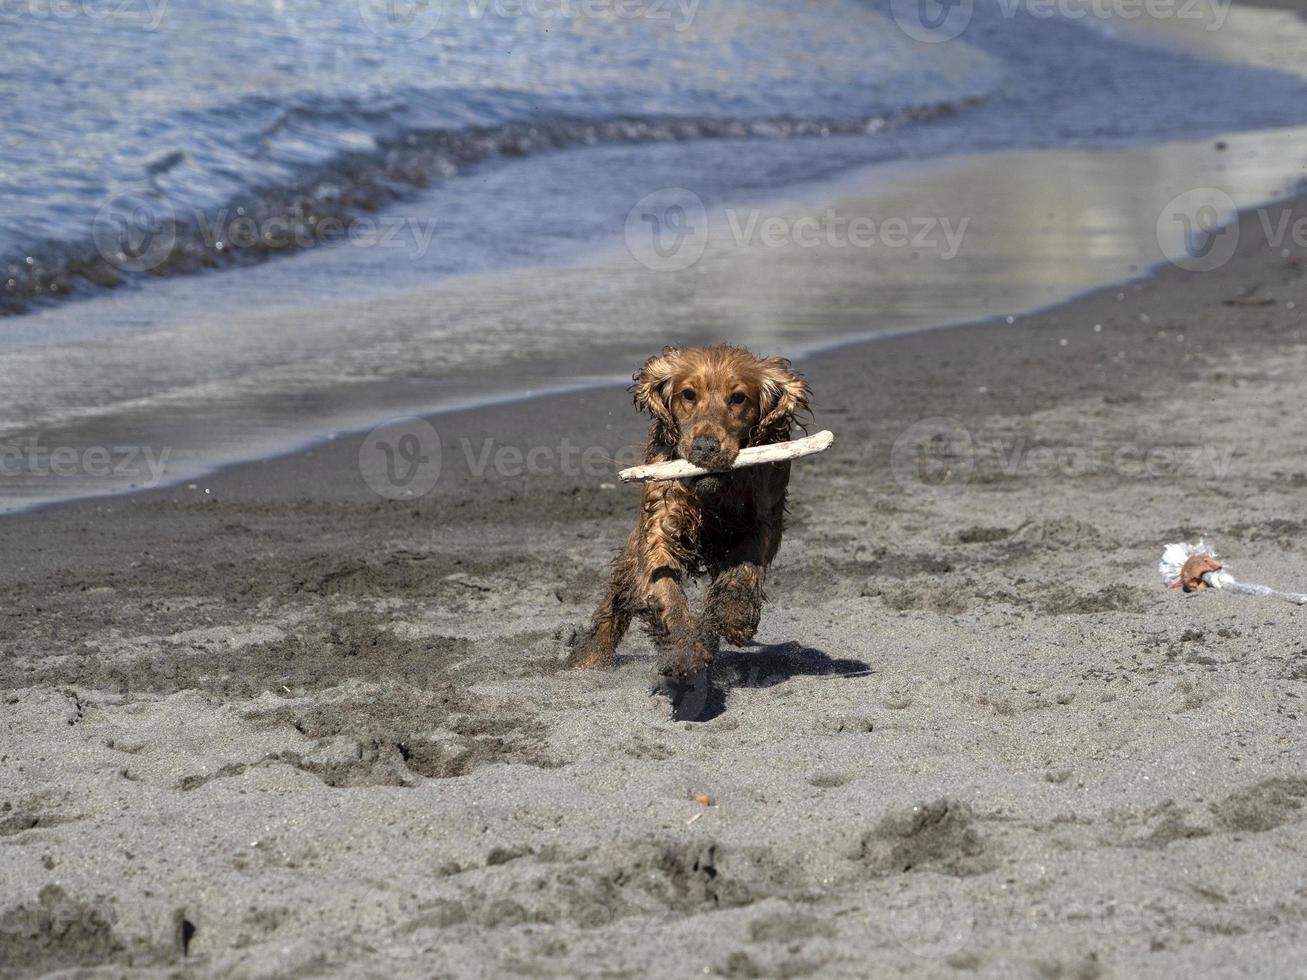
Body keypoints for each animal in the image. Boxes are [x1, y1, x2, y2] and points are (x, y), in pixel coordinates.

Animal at [569, 342, 805, 674]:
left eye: (738, 398)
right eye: (688, 394)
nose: (706, 447)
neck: (714, 492)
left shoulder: (762, 517)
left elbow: (745, 567)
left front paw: (734, 615)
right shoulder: (660, 524)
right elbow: (665, 590)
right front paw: (684, 648)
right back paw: (588, 656)